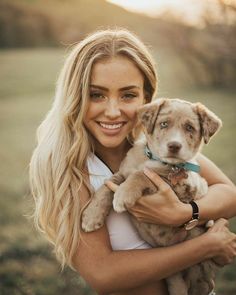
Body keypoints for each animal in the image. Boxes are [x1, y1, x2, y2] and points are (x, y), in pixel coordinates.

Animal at [82, 98, 222, 294]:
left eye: (190, 128)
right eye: (163, 124)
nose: (174, 146)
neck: (154, 160)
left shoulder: (185, 185)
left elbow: (142, 175)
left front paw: (123, 195)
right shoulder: (122, 172)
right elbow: (106, 187)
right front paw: (91, 217)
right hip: (175, 279)